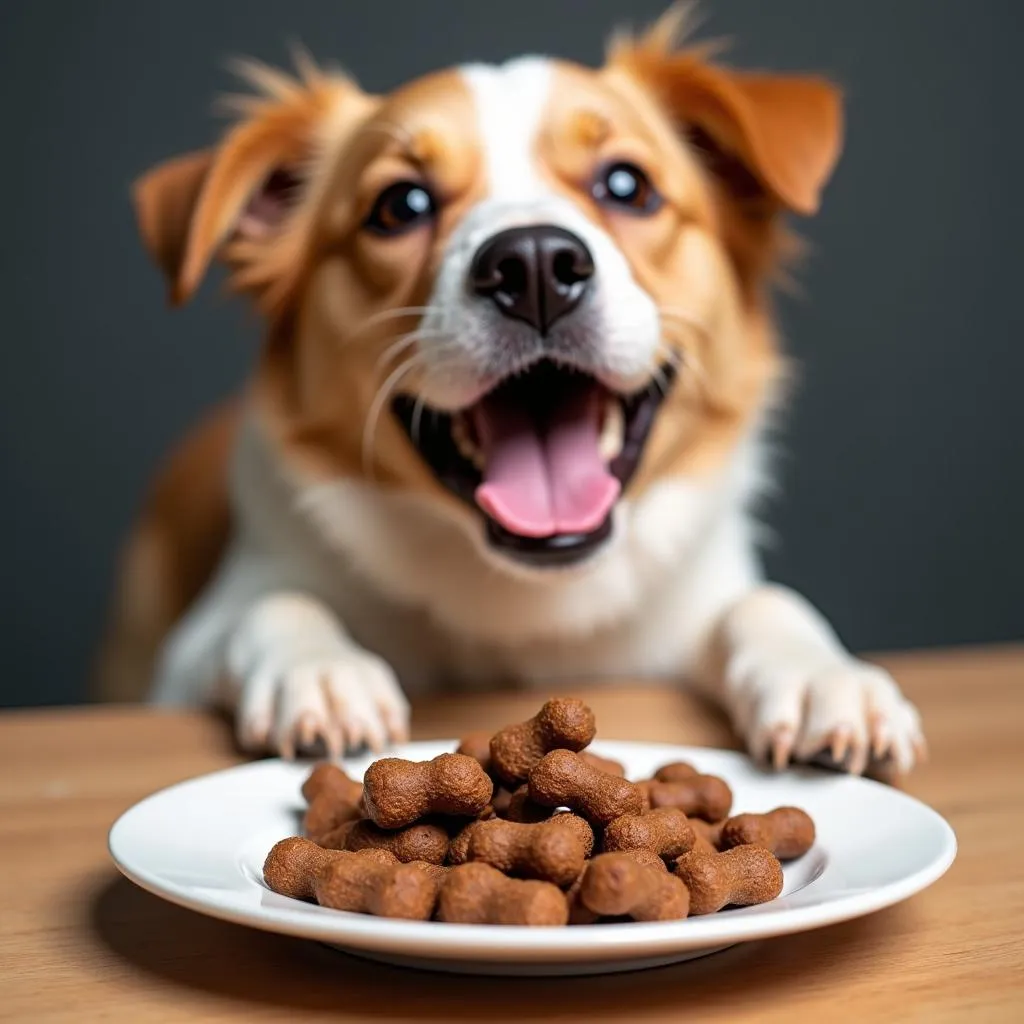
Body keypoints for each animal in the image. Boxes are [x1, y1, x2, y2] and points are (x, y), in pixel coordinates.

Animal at [97, 6, 929, 774]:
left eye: (627, 185)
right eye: (400, 205)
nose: (533, 265)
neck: (520, 604)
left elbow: (764, 601)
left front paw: (824, 675)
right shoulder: (185, 656)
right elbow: (274, 603)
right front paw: (321, 669)